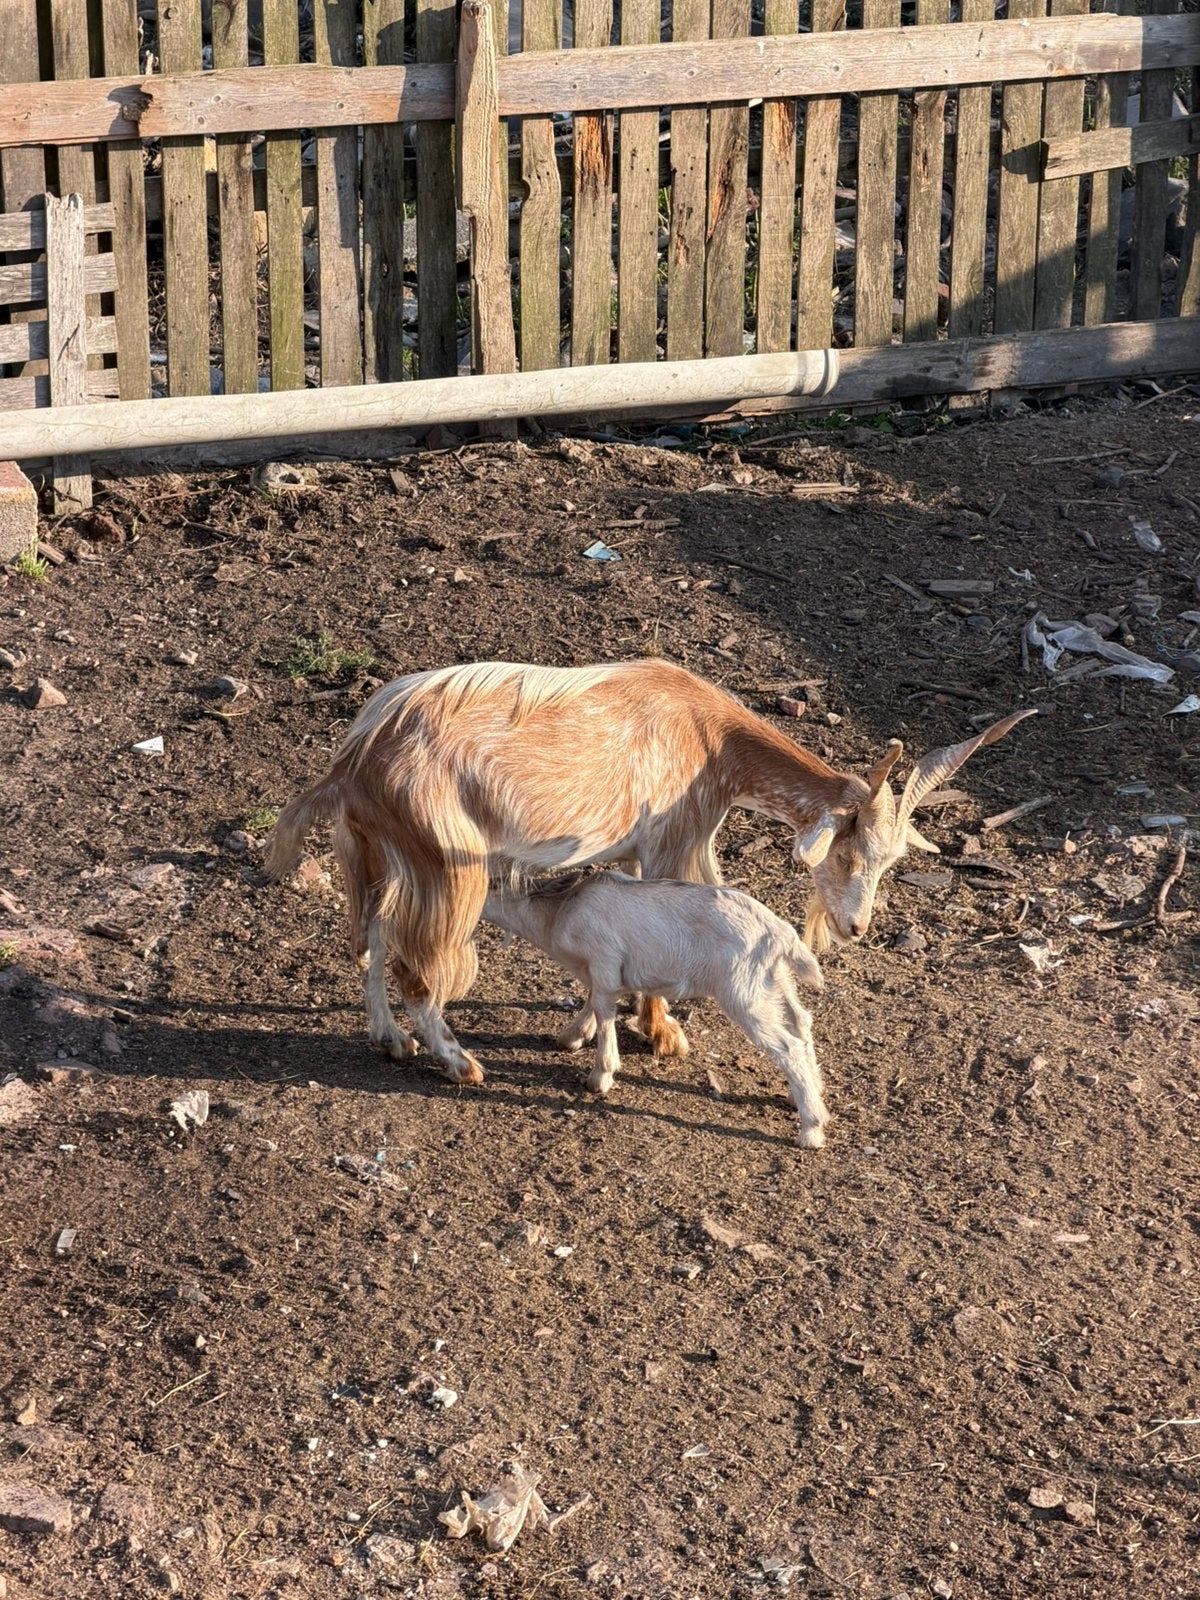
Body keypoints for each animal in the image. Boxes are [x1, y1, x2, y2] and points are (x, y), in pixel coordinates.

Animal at [265, 657, 1033, 1085]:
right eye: (846, 851)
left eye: (893, 860)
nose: (856, 927)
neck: (713, 738)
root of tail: (357, 758)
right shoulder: (677, 835)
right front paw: (660, 1033)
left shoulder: (644, 849)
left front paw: (608, 1023)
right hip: (449, 861)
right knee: (420, 968)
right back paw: (460, 1064)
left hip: (381, 850)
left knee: (372, 934)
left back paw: (388, 1039)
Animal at [482, 871, 831, 1147]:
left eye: (490, 884)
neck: (559, 913)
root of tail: (782, 934)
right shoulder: (600, 973)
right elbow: (593, 1000)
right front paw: (573, 1036)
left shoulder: (604, 962)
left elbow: (604, 1010)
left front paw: (601, 1076)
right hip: (774, 981)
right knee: (801, 1023)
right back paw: (805, 1095)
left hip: (743, 991)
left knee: (788, 1046)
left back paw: (811, 1130)